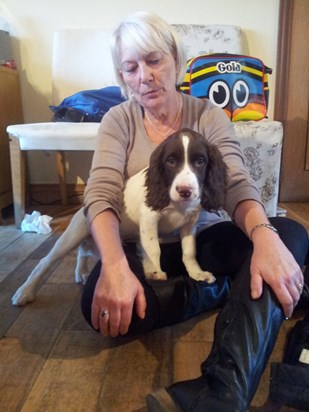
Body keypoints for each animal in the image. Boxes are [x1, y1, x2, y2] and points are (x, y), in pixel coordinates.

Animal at [11, 129, 226, 306]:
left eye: (200, 161)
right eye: (171, 161)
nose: (185, 191)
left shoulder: (190, 222)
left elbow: (189, 251)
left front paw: (196, 273)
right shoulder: (149, 218)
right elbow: (153, 248)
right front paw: (154, 271)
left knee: (83, 250)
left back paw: (81, 272)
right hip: (74, 234)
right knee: (46, 261)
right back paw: (24, 292)